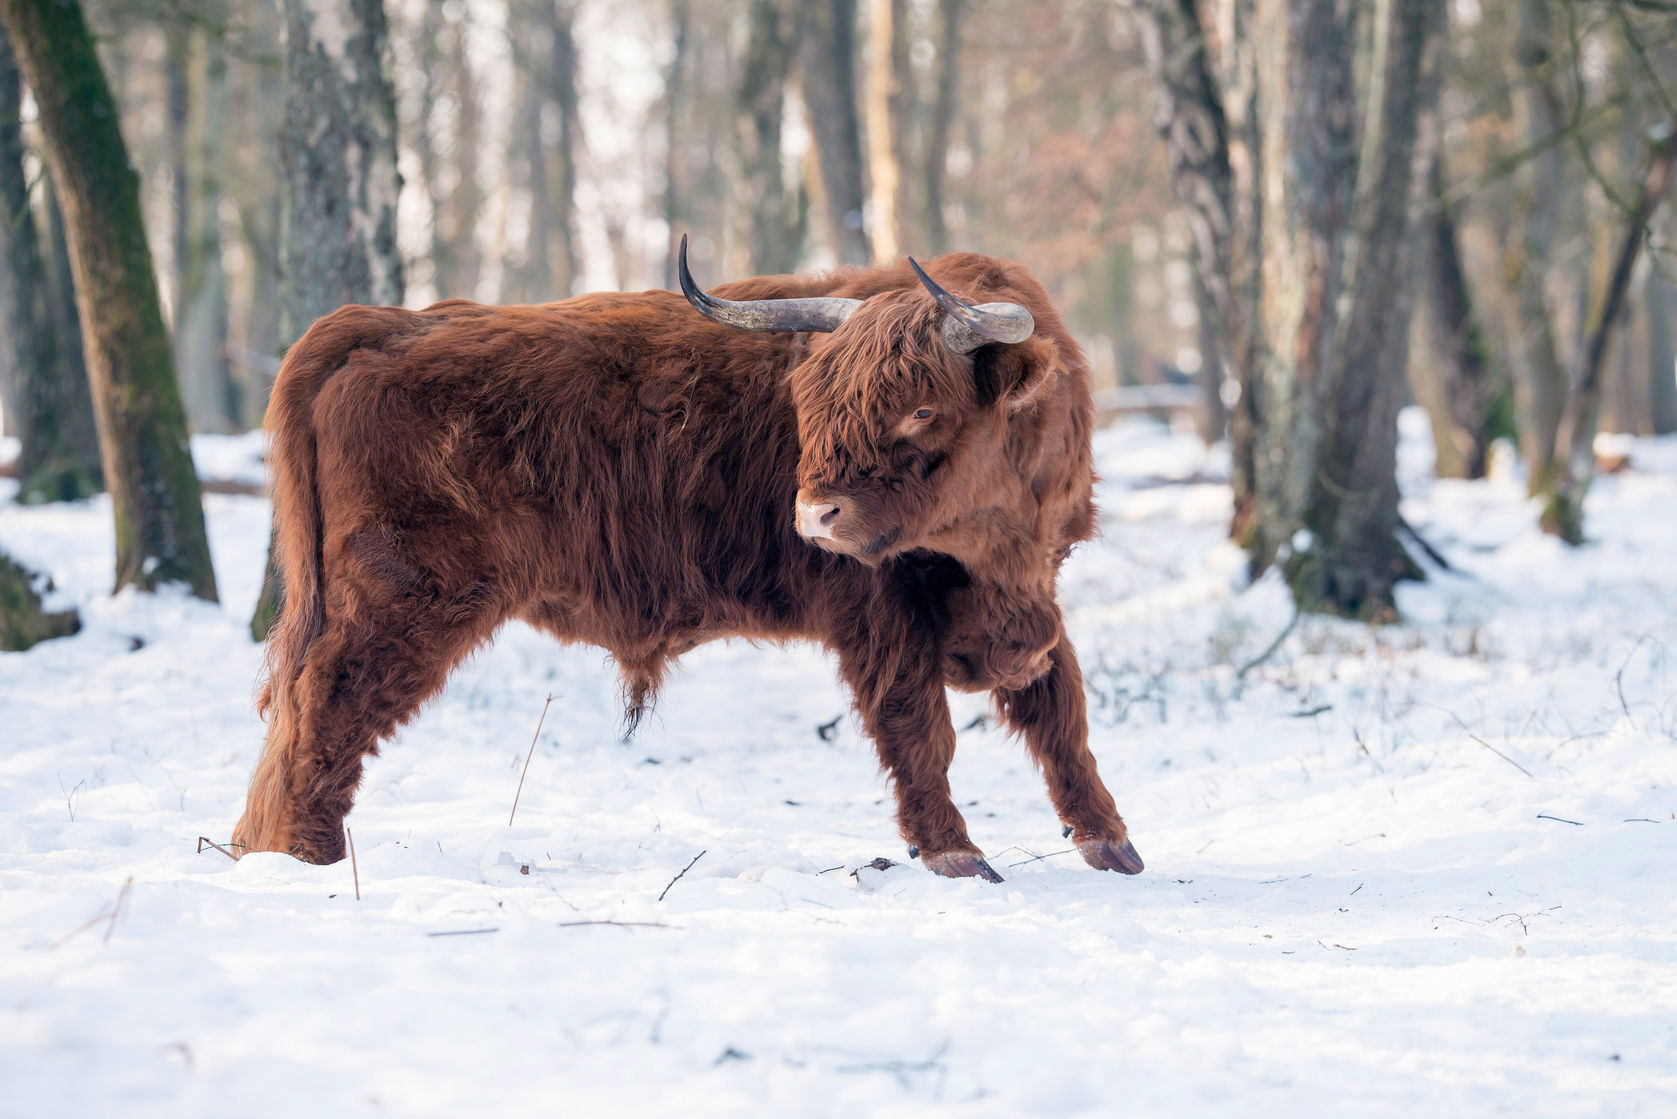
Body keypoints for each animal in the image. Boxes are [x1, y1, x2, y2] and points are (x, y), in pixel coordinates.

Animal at [233, 238, 1140, 885]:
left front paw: (1111, 840)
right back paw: (302, 854)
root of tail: (387, 323)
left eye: (922, 408)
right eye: (813, 403)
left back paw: (257, 845)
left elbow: (1062, 712)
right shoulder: (882, 616)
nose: (814, 514)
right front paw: (955, 850)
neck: (995, 549)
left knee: (293, 707)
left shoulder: (1031, 601)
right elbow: (920, 726)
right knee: (326, 701)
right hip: (402, 596)